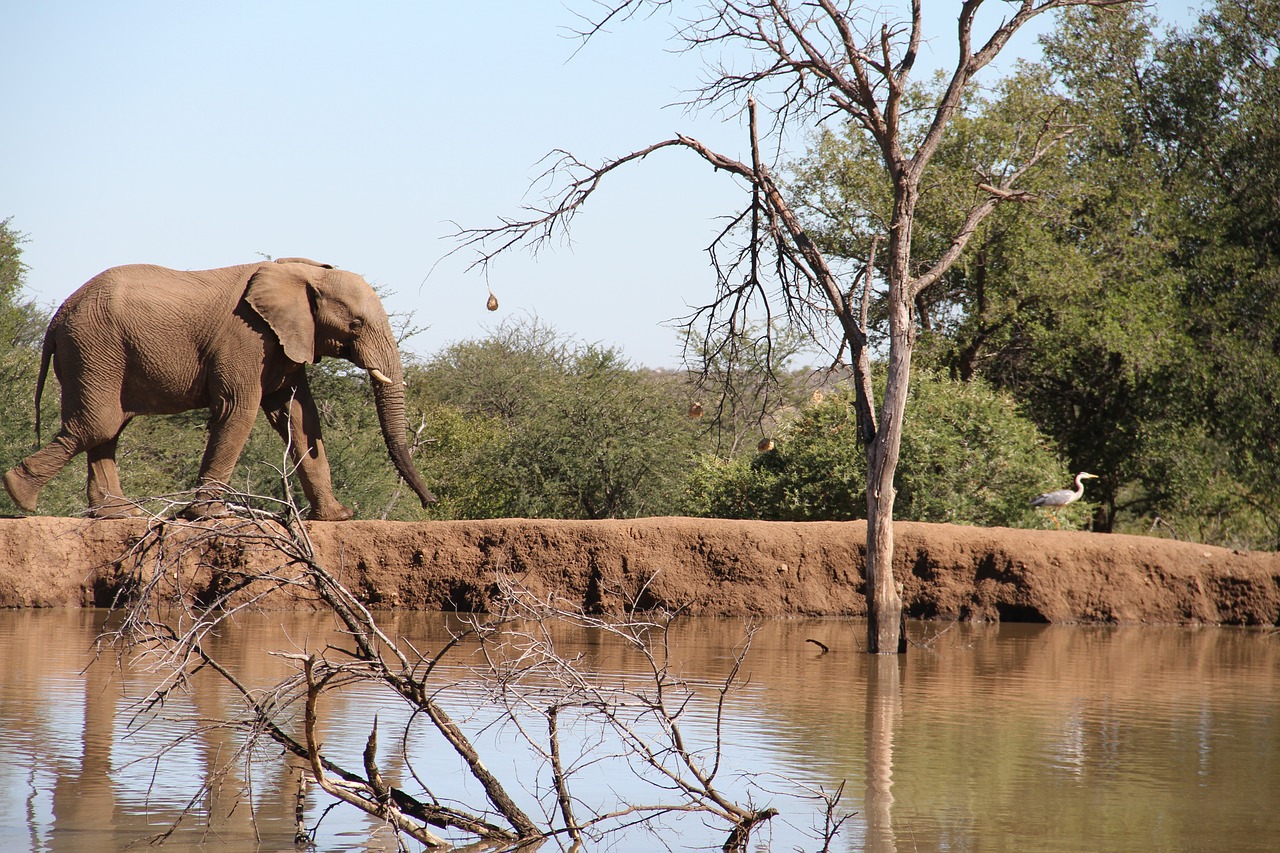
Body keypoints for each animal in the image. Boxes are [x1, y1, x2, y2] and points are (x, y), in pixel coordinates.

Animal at [2, 256, 437, 517]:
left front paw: (337, 517)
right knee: (99, 424)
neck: (302, 271)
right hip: (93, 347)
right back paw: (21, 495)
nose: (431, 501)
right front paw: (207, 516)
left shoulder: (284, 340)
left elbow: (298, 415)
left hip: (97, 352)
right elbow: (237, 410)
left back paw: (117, 515)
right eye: (356, 324)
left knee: (108, 428)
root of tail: (56, 319)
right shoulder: (245, 337)